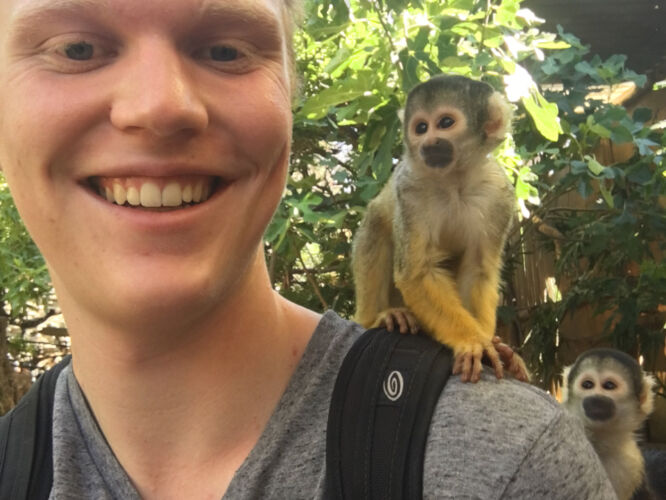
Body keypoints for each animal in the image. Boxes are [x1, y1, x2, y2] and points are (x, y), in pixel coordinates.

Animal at [351, 74, 515, 383]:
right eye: (421, 127)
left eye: (445, 123)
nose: (428, 142)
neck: (454, 180)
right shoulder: (410, 189)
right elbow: (416, 272)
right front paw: (472, 341)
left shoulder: (498, 195)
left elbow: (478, 270)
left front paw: (490, 344)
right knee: (376, 224)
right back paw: (379, 318)